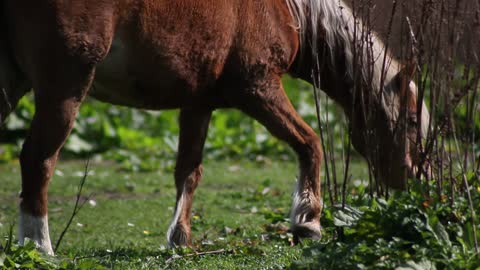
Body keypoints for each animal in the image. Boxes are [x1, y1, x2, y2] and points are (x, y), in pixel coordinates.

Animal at [1, 0, 430, 255]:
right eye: (411, 120)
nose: (412, 179)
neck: (285, 12)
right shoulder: (259, 90)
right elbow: (310, 143)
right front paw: (307, 222)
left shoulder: (199, 104)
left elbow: (188, 172)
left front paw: (179, 240)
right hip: (65, 89)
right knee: (38, 161)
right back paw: (38, 245)